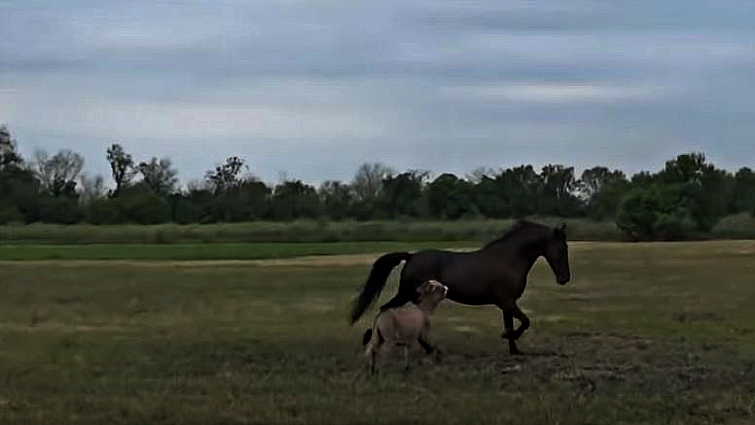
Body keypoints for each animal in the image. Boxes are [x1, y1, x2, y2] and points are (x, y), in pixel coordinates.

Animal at [348, 219, 572, 355]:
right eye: (562, 248)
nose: (565, 279)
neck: (510, 259)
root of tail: (411, 257)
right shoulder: (506, 301)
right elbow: (525, 321)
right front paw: (507, 337)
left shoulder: (507, 303)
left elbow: (511, 323)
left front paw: (514, 350)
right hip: (407, 293)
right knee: (384, 309)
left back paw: (428, 349)